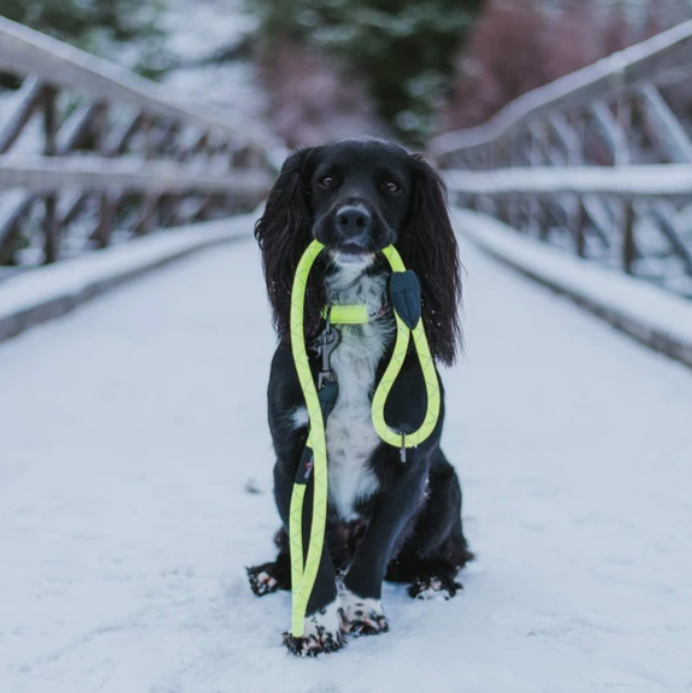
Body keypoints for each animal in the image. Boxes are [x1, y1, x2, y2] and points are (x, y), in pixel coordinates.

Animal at [247, 137, 470, 656]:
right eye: (327, 179)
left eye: (391, 186)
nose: (352, 217)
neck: (352, 315)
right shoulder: (293, 461)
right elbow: (311, 552)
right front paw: (316, 624)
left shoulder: (412, 466)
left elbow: (377, 547)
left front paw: (363, 609)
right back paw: (271, 574)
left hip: (447, 489)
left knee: (450, 556)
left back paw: (435, 581)